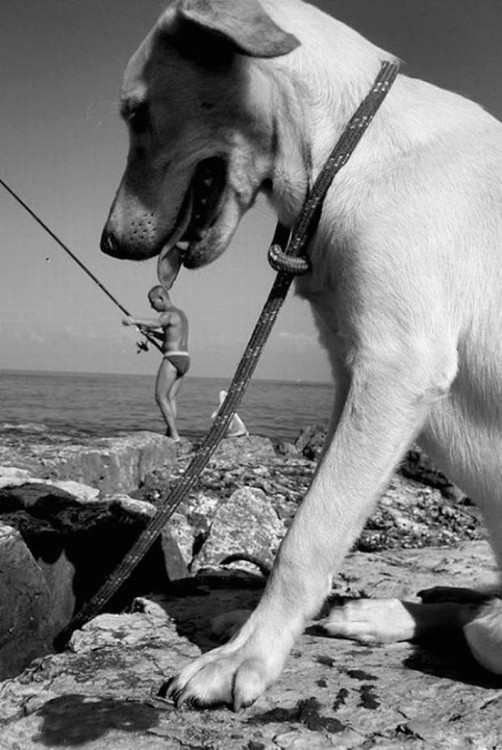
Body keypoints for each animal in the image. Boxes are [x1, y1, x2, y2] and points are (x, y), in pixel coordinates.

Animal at [100, 0, 502, 712]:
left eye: (139, 114)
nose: (108, 243)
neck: (350, 151)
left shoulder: (395, 369)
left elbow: (307, 536)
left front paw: (247, 657)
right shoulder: (352, 375)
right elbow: (314, 516)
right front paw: (250, 630)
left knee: (481, 618)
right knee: (472, 615)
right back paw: (368, 616)